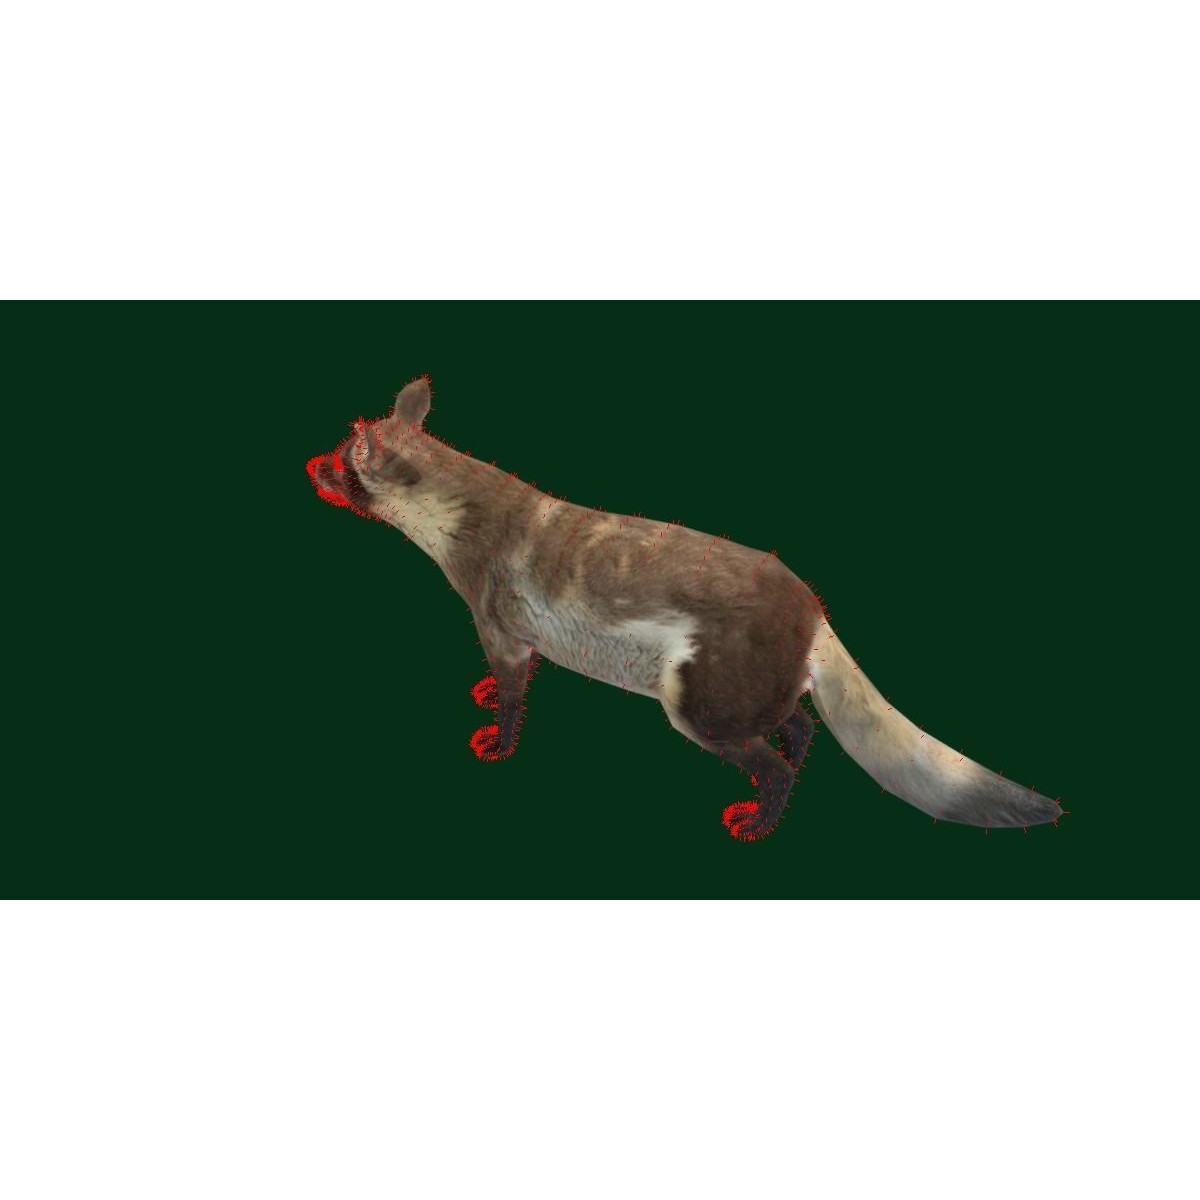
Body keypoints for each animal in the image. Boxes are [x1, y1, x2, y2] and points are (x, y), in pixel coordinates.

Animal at [307, 377, 1062, 841]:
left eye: (345, 459)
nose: (311, 464)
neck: (462, 530)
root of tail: (813, 616)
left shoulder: (496, 622)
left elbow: (516, 692)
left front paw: (496, 739)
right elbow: (505, 681)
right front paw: (485, 695)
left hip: (696, 705)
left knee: (776, 763)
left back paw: (752, 822)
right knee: (799, 731)